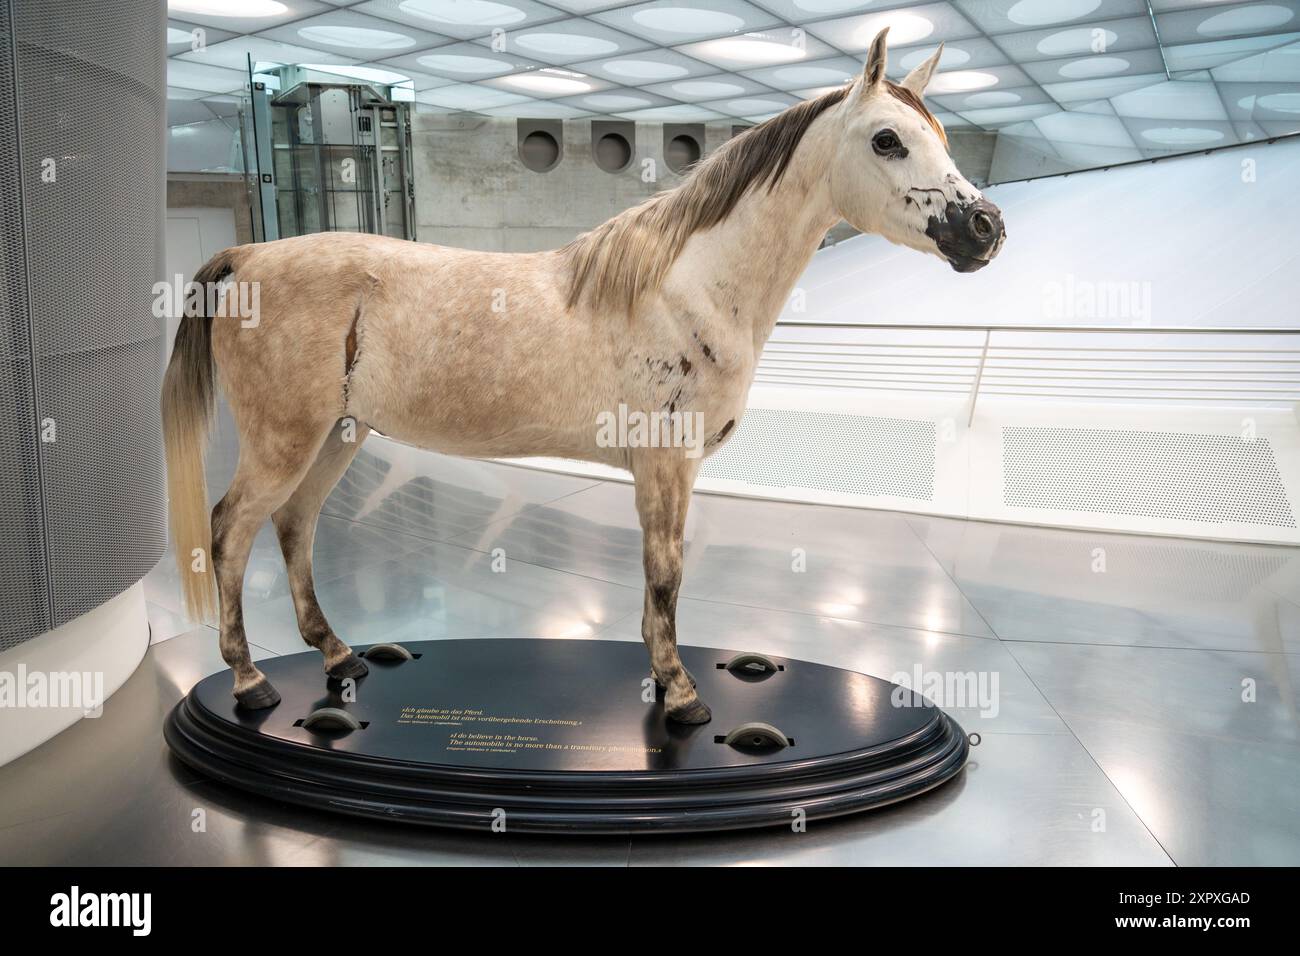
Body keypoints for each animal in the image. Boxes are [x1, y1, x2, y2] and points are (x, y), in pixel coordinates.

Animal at [159, 31, 1003, 723]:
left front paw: (665, 680)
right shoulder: (664, 464)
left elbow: (659, 576)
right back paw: (250, 682)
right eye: (888, 140)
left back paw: (339, 656)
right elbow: (665, 573)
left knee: (294, 527)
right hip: (285, 441)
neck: (687, 290)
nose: (985, 228)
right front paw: (682, 695)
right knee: (231, 531)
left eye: (941, 136)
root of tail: (250, 257)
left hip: (338, 434)